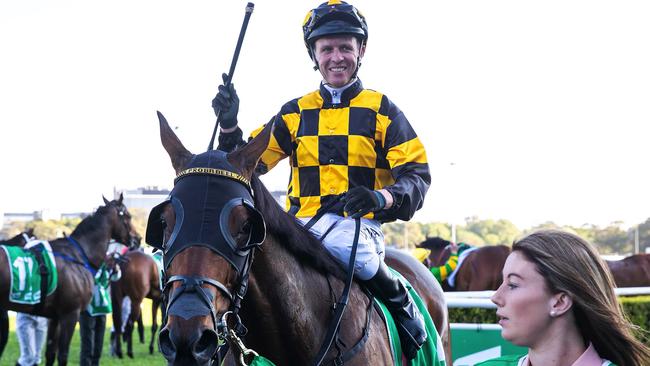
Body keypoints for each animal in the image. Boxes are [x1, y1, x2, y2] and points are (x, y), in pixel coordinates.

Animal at [0, 196, 139, 364]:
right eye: (128, 216)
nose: (138, 239)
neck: (80, 254)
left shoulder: (54, 318)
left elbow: (50, 354)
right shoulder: (70, 314)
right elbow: (62, 355)